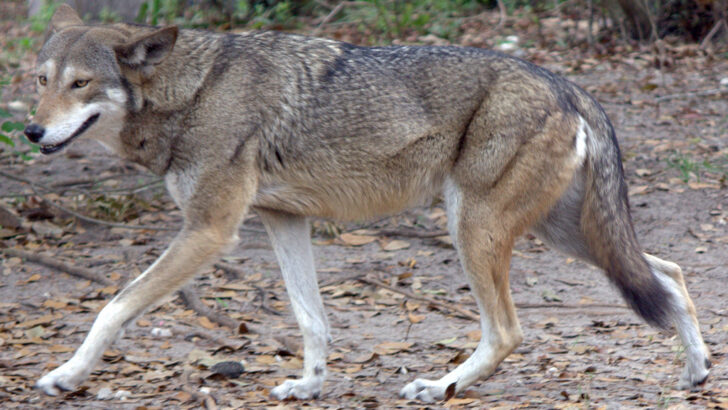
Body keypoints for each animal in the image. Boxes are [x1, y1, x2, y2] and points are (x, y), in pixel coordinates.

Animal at [27, 4, 710, 402]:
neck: (192, 93)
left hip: (477, 230)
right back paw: (697, 371)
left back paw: (440, 385)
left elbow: (113, 307)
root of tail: (566, 83)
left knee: (509, 331)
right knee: (669, 273)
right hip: (562, 234)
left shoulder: (210, 230)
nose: (31, 132)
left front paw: (67, 376)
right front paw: (309, 385)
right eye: (40, 80)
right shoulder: (282, 220)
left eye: (80, 84)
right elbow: (311, 318)